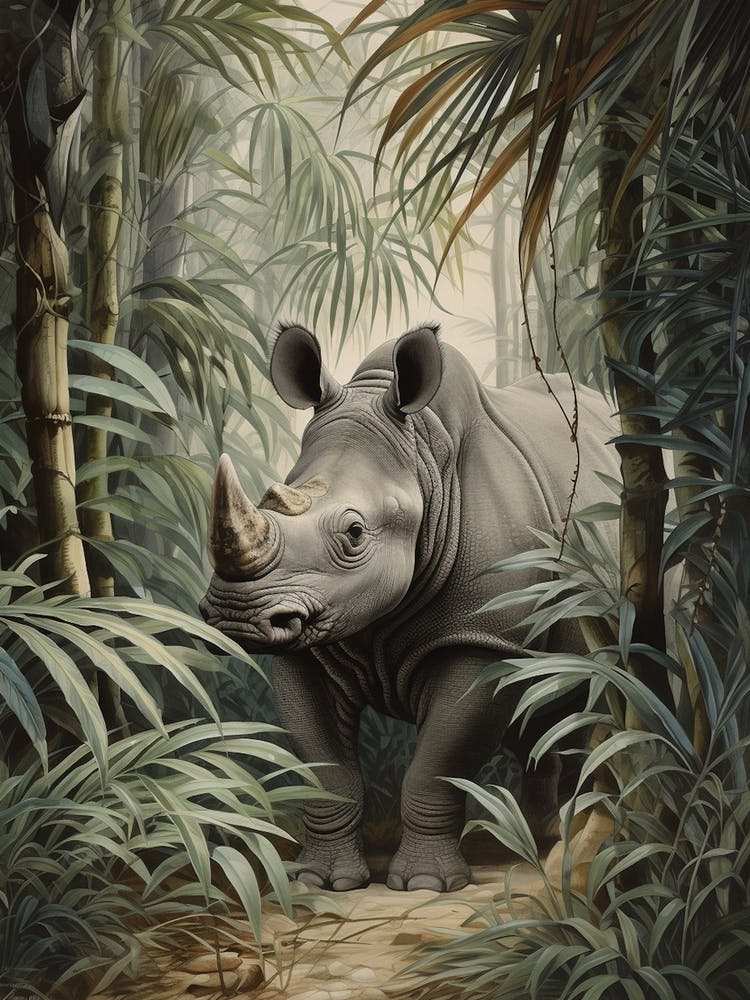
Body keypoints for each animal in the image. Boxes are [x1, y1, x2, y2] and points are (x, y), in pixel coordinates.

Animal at [200, 324, 618, 892]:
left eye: (355, 532)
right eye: (268, 499)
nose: (235, 615)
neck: (425, 464)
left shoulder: (480, 636)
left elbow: (438, 763)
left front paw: (427, 884)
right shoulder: (308, 639)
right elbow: (325, 766)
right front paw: (321, 881)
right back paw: (540, 834)